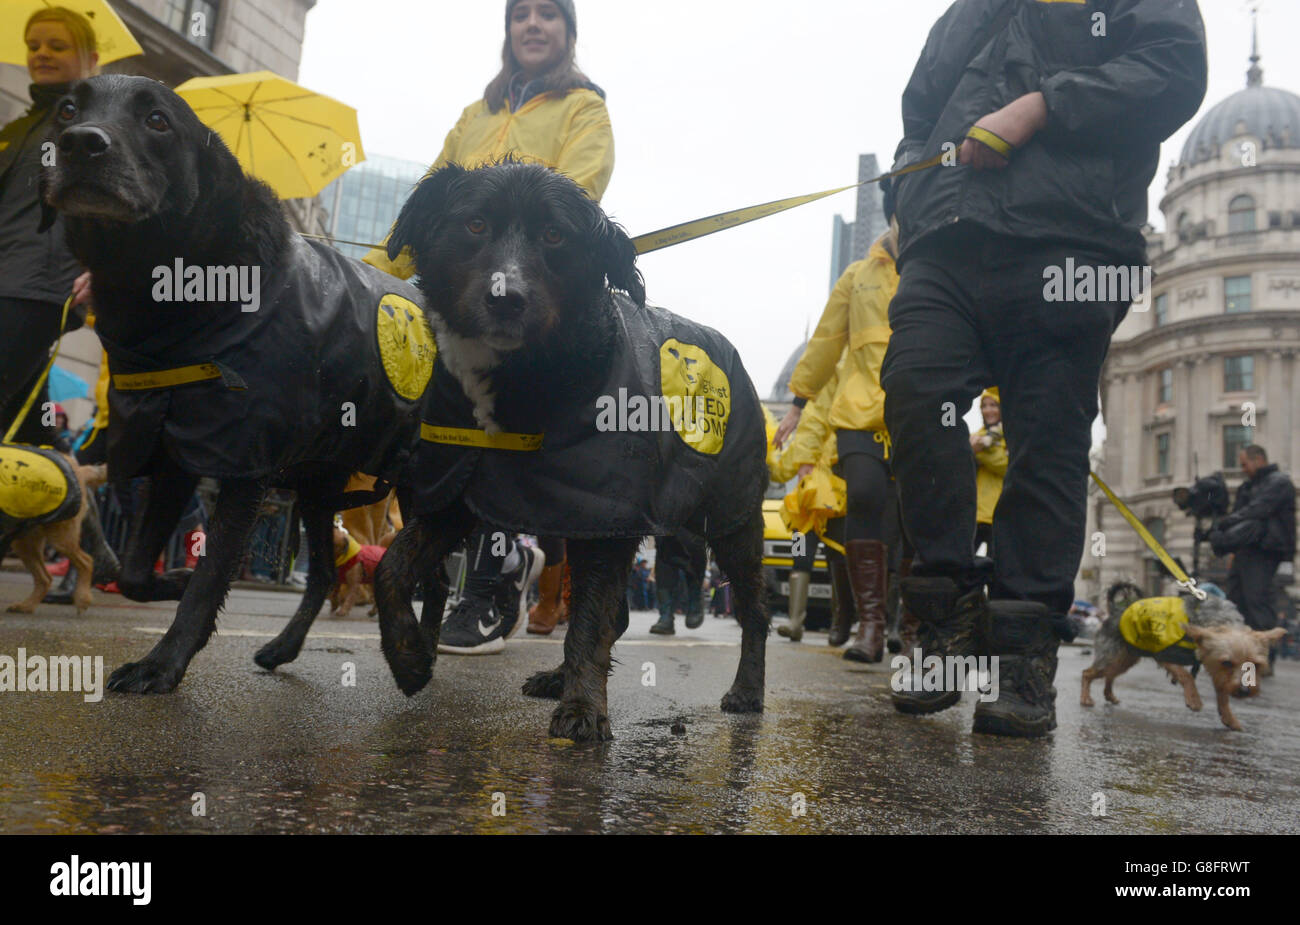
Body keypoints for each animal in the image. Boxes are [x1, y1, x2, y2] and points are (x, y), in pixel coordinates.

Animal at [36, 76, 426, 691]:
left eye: (158, 120)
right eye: (67, 110)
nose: (81, 143)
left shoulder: (244, 467)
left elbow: (210, 576)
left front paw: (162, 663)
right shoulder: (174, 454)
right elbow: (137, 571)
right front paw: (169, 579)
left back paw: (415, 649)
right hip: (318, 490)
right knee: (325, 576)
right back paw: (289, 647)